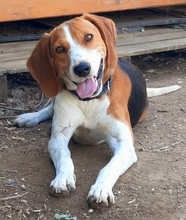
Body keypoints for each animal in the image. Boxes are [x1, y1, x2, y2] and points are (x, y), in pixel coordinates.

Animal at [14, 13, 180, 208]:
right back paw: (30, 117)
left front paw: (101, 189)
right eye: (59, 49)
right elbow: (64, 157)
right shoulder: (58, 139)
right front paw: (63, 178)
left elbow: (109, 167)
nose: (82, 68)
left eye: (88, 37)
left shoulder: (123, 145)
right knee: (50, 108)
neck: (89, 101)